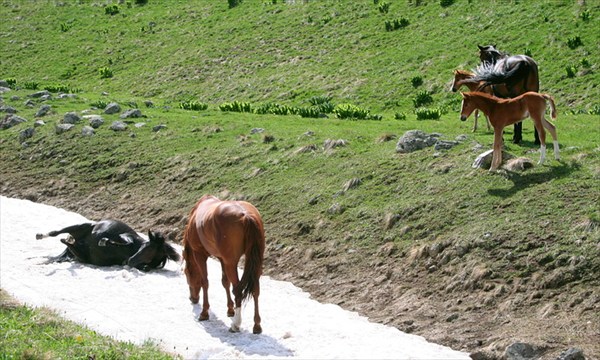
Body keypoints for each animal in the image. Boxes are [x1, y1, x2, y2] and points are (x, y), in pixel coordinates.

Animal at [34, 219, 179, 270]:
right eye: (146, 247)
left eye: (150, 252)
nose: (131, 260)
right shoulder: (126, 237)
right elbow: (125, 241)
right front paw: (104, 241)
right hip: (81, 226)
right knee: (56, 233)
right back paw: (40, 235)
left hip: (82, 255)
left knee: (67, 243)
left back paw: (69, 241)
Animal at [183, 195, 264, 334]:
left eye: (187, 273)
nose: (192, 298)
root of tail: (246, 215)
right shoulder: (222, 258)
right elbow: (225, 282)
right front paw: (230, 309)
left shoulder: (199, 254)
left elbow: (205, 282)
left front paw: (204, 312)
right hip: (255, 263)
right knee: (255, 289)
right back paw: (256, 325)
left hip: (231, 263)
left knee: (238, 290)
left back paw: (236, 324)